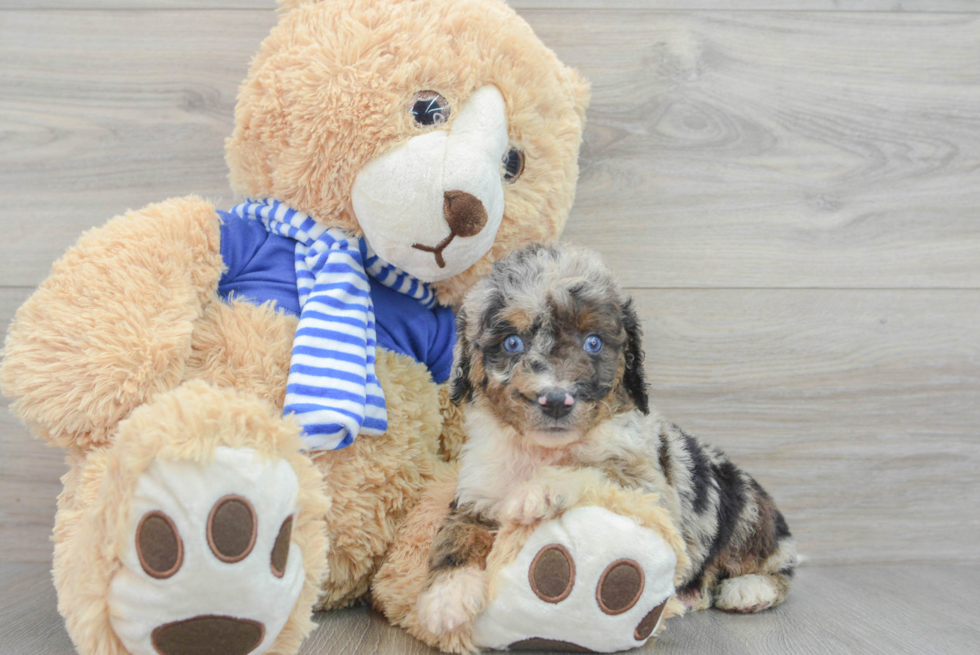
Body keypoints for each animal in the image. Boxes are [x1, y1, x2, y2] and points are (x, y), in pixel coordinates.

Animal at [414, 245, 796, 636]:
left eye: (593, 343)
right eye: (512, 343)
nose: (556, 400)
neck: (543, 450)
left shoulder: (652, 490)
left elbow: (593, 467)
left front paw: (538, 491)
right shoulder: (478, 491)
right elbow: (456, 533)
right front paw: (447, 595)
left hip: (745, 508)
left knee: (777, 567)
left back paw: (749, 589)